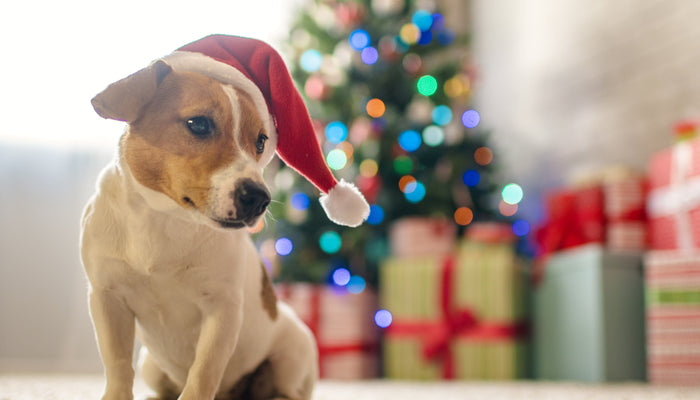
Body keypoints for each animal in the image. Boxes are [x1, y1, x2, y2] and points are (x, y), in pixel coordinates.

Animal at [81, 35, 370, 400]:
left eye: (261, 140)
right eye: (198, 124)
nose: (259, 199)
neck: (165, 219)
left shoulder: (222, 309)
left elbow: (203, 373)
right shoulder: (107, 298)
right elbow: (118, 367)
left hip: (295, 349)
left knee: (286, 390)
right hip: (151, 364)